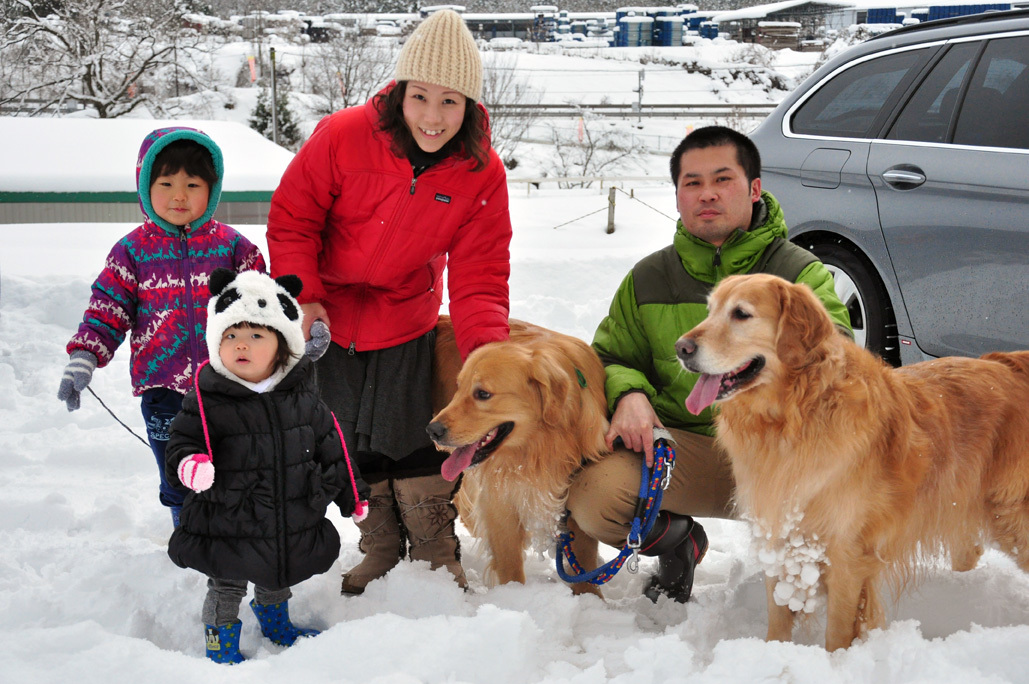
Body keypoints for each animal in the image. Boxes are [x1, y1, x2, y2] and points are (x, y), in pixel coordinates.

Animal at [428, 316, 609, 596]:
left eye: (482, 394)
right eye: (458, 388)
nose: (433, 430)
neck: (541, 446)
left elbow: (584, 564)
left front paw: (592, 601)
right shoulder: (499, 498)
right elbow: (510, 564)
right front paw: (514, 596)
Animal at [675, 273, 1029, 650]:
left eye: (741, 314)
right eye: (709, 310)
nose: (680, 348)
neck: (794, 418)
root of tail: (1011, 364)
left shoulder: (847, 551)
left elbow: (838, 630)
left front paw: (835, 659)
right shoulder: (778, 530)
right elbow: (778, 618)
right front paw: (774, 652)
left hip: (1011, 516)